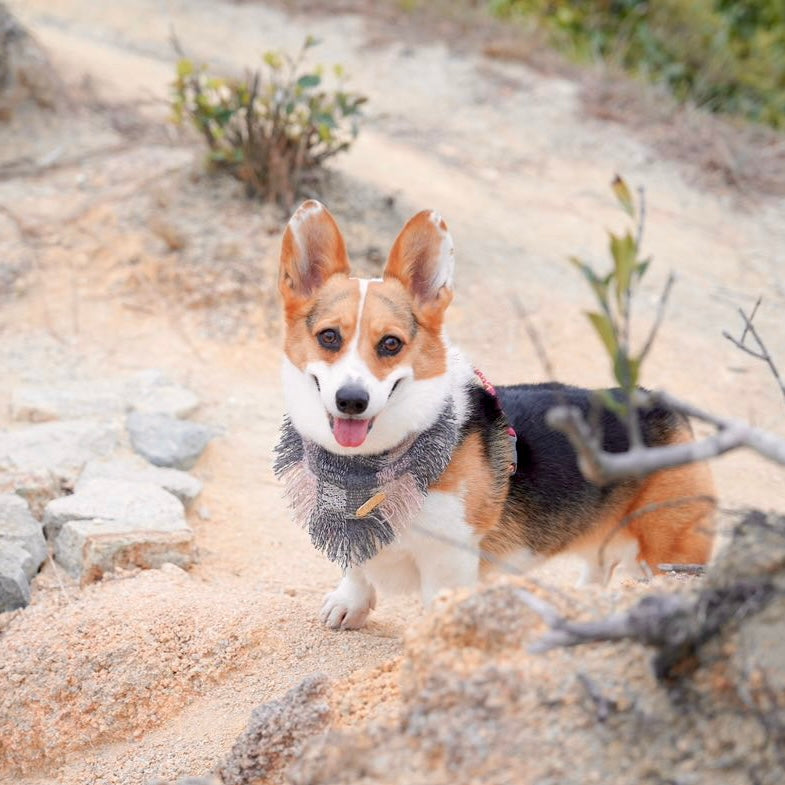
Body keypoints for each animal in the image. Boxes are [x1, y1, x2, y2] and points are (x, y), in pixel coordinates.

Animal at [278, 201, 712, 632]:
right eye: (329, 336)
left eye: (391, 344)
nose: (352, 400)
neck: (372, 468)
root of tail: (659, 402)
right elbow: (355, 569)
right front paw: (349, 604)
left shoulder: (449, 563)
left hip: (671, 552)